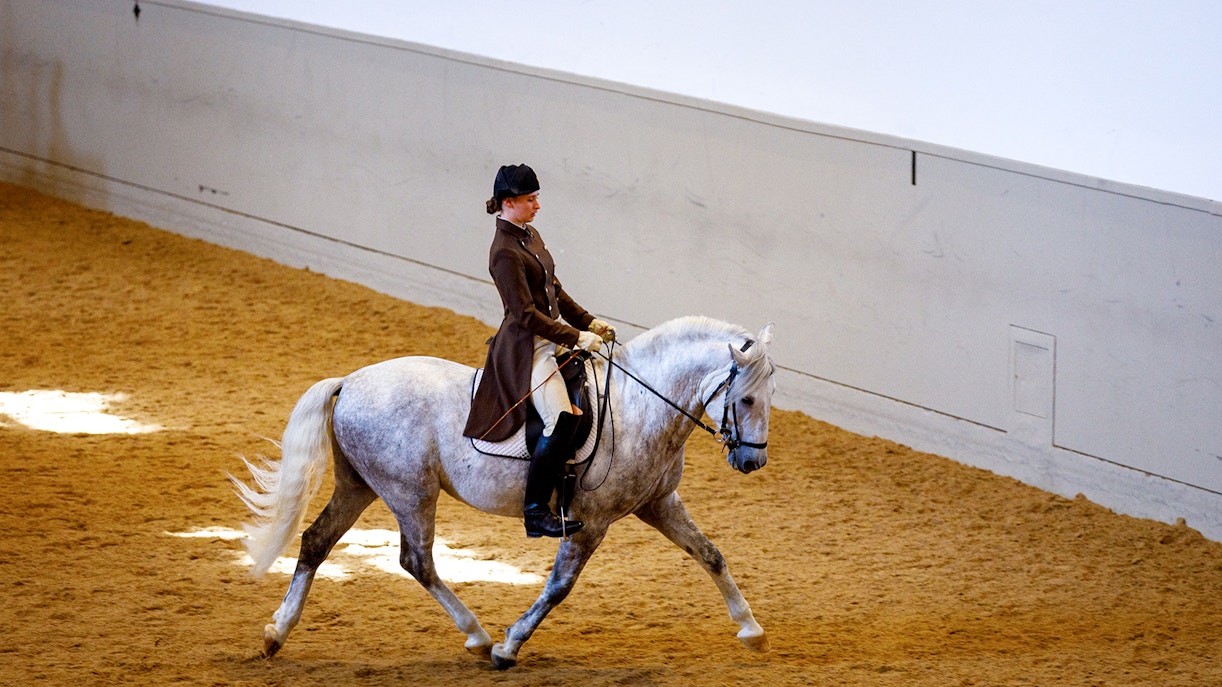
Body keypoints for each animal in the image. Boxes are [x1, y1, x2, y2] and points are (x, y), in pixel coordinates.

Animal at [232, 315, 776, 669]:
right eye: (746, 398)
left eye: (770, 396)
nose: (753, 462)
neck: (638, 405)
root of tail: (349, 381)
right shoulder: (592, 522)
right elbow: (559, 587)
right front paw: (509, 647)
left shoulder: (657, 503)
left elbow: (711, 555)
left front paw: (751, 630)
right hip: (409, 491)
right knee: (417, 561)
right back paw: (477, 636)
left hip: (361, 485)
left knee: (316, 542)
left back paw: (276, 634)